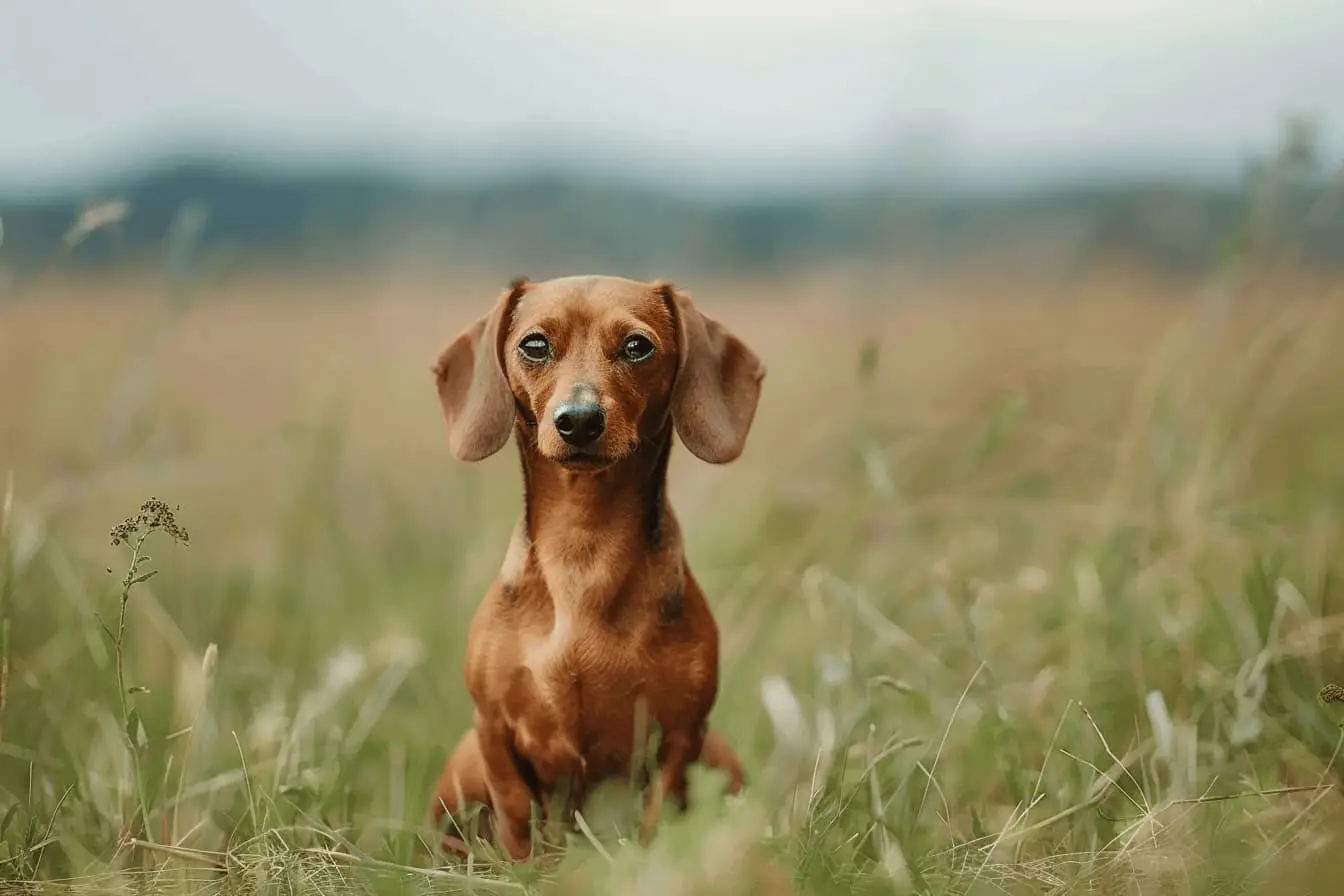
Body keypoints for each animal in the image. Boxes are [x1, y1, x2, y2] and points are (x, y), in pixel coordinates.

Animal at [430, 275, 768, 859]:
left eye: (637, 346)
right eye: (534, 344)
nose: (579, 421)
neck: (582, 553)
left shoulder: (680, 735)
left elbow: (657, 812)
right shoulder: (492, 729)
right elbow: (516, 814)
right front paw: (524, 870)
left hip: (720, 758)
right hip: (463, 766)